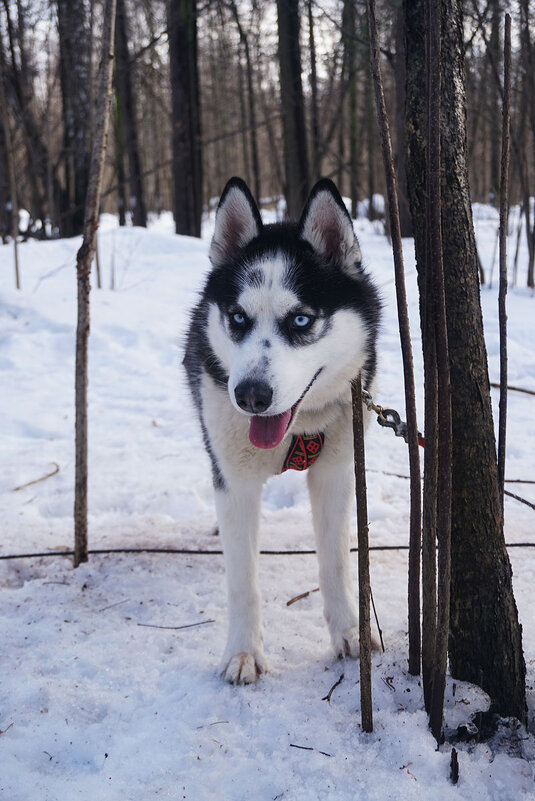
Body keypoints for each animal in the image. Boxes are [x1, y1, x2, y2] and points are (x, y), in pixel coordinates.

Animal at [184, 178, 382, 684]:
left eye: (300, 319)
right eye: (238, 318)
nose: (250, 395)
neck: (300, 430)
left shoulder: (335, 474)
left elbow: (335, 562)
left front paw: (350, 633)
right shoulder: (234, 483)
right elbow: (242, 581)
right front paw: (243, 652)